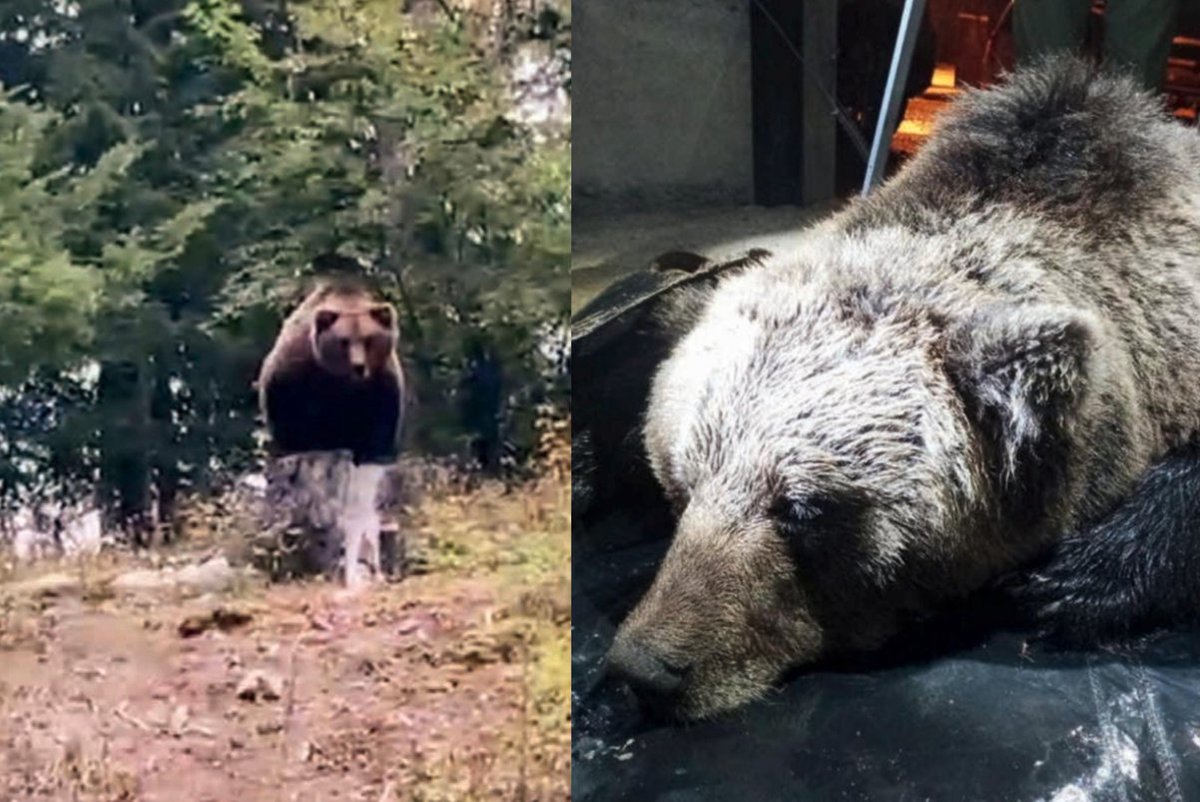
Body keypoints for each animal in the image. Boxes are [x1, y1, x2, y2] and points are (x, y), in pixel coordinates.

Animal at [257, 277, 406, 587]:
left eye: (369, 339)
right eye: (344, 341)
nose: (359, 366)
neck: (341, 385)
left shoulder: (381, 391)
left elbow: (376, 445)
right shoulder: (295, 382)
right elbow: (295, 431)